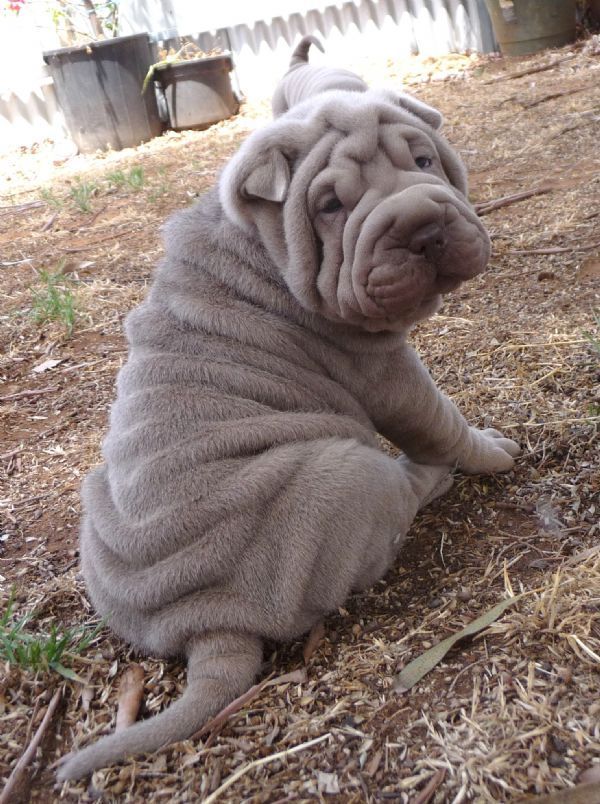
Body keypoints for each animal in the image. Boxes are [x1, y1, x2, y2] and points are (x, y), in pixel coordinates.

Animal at [59, 39, 520, 780]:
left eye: (424, 161)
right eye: (329, 205)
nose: (421, 226)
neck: (264, 247)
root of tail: (208, 628)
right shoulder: (387, 373)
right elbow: (443, 421)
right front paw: (491, 451)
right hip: (345, 476)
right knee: (394, 499)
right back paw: (426, 477)